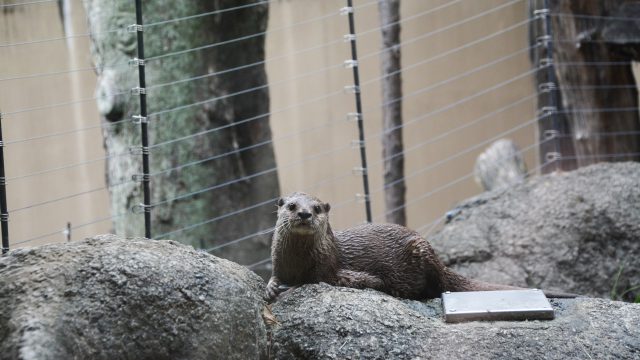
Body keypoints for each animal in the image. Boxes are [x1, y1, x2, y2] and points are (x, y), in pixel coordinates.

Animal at [262, 191, 572, 300]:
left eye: (316, 208)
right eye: (291, 205)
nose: (304, 214)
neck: (298, 262)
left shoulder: (332, 269)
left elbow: (330, 280)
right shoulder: (279, 262)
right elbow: (274, 275)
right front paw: (271, 287)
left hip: (421, 250)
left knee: (438, 287)